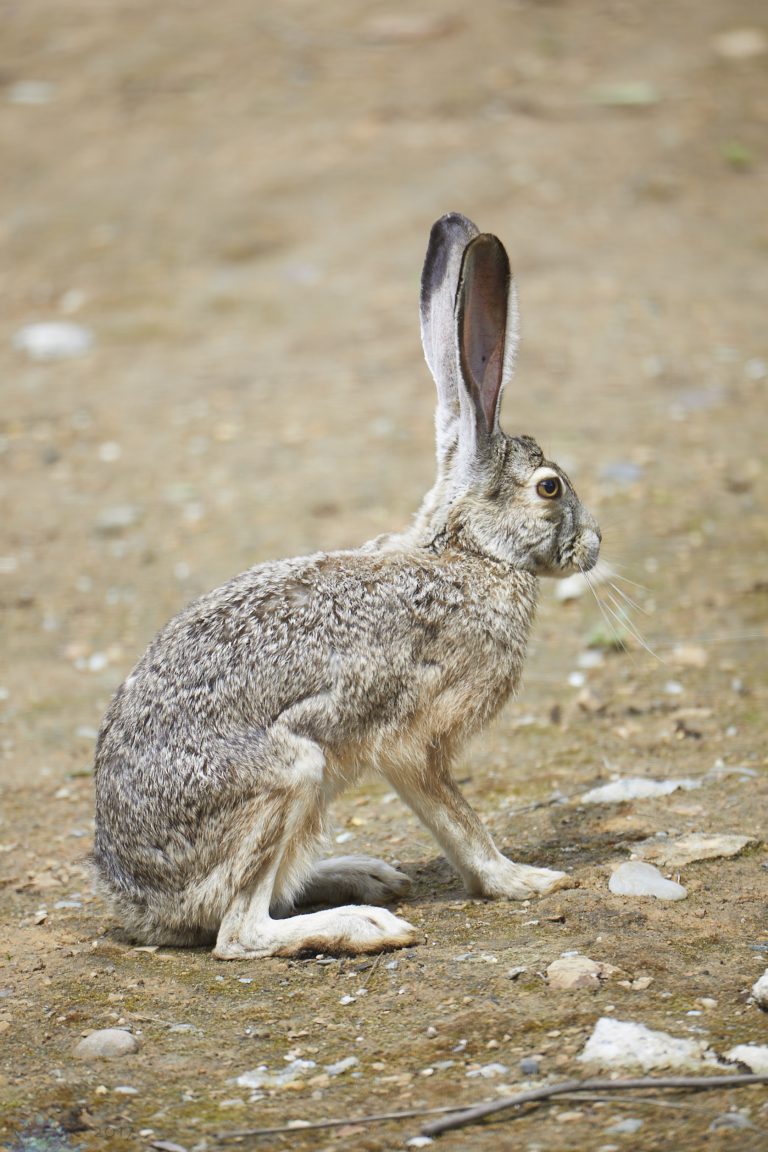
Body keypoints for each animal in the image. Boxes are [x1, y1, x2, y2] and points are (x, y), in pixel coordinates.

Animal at [91, 212, 601, 959]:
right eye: (550, 487)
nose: (595, 545)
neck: (467, 552)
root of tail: (136, 900)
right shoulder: (414, 737)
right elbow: (460, 822)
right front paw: (524, 880)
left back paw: (361, 875)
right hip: (290, 771)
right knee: (238, 931)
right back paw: (364, 923)